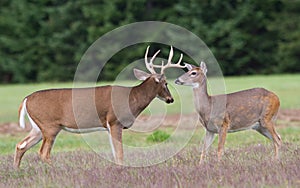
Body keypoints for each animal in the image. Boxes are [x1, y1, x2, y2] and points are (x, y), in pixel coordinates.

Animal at [14, 45, 185, 167]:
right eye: (165, 83)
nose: (170, 99)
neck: (132, 99)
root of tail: (26, 99)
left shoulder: (109, 126)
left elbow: (115, 153)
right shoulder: (115, 121)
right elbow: (120, 153)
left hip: (38, 127)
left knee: (20, 145)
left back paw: (17, 171)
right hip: (50, 125)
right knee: (43, 153)